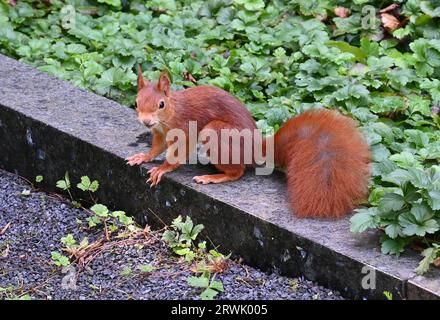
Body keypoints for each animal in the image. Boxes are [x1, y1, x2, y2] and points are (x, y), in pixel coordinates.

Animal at [127, 66, 372, 219]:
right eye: (136, 102)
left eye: (161, 104)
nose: (146, 121)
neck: (168, 116)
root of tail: (256, 149)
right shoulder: (159, 133)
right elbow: (156, 147)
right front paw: (143, 157)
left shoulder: (186, 129)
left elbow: (177, 154)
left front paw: (162, 168)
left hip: (215, 133)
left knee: (238, 173)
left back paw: (213, 177)